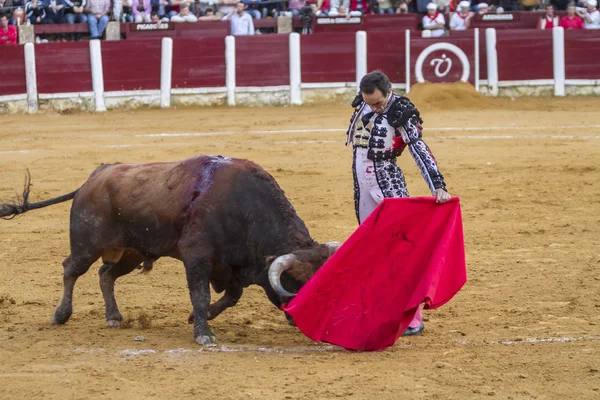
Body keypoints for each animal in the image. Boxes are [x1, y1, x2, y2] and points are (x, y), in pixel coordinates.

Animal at [0, 155, 340, 346]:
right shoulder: (197, 257)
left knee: (105, 274)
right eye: (297, 284)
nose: (304, 321)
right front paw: (203, 333)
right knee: (71, 269)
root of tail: (94, 177)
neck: (243, 206)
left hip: (131, 252)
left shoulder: (231, 266)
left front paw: (198, 319)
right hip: (87, 244)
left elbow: (230, 296)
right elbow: (201, 294)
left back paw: (113, 316)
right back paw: (61, 315)